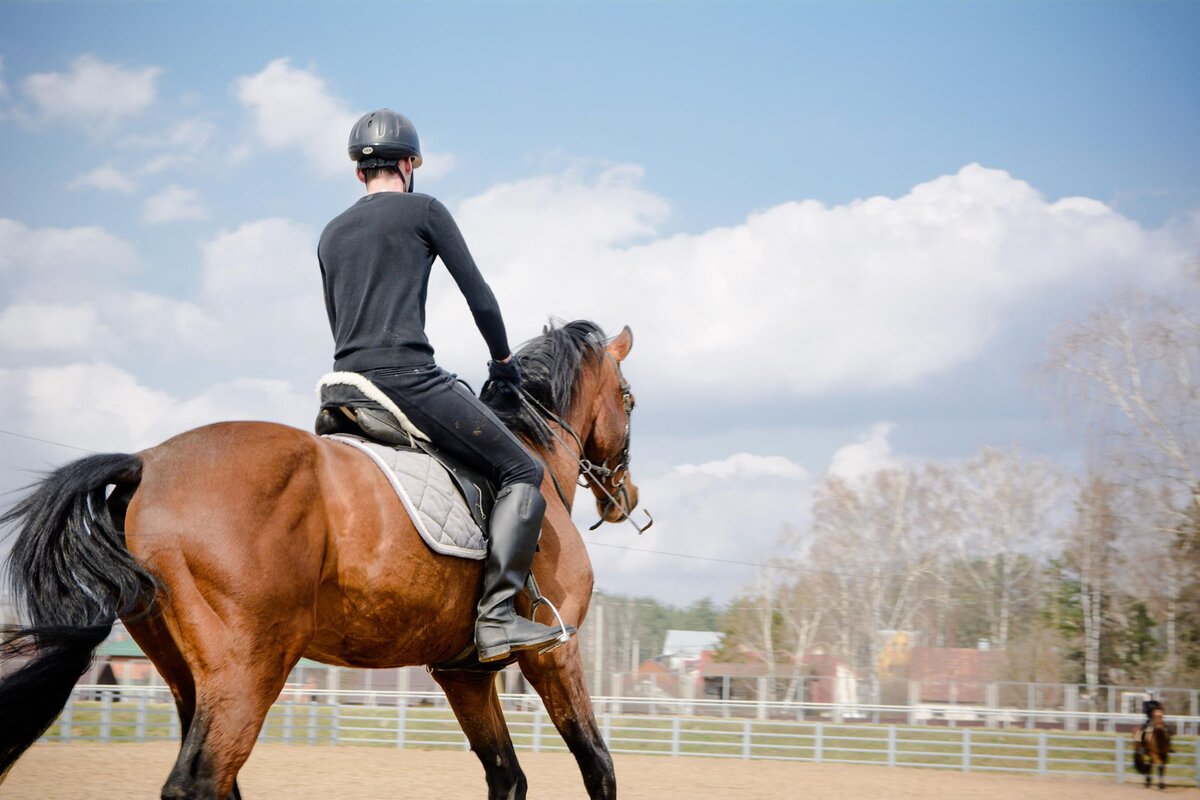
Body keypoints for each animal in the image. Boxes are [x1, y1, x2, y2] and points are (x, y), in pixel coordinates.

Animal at [0, 321, 643, 800]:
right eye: (630, 399)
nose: (626, 498)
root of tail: (147, 462)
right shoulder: (553, 653)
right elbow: (599, 766)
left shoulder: (464, 674)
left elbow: (507, 778)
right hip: (249, 671)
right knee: (202, 782)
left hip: (188, 677)